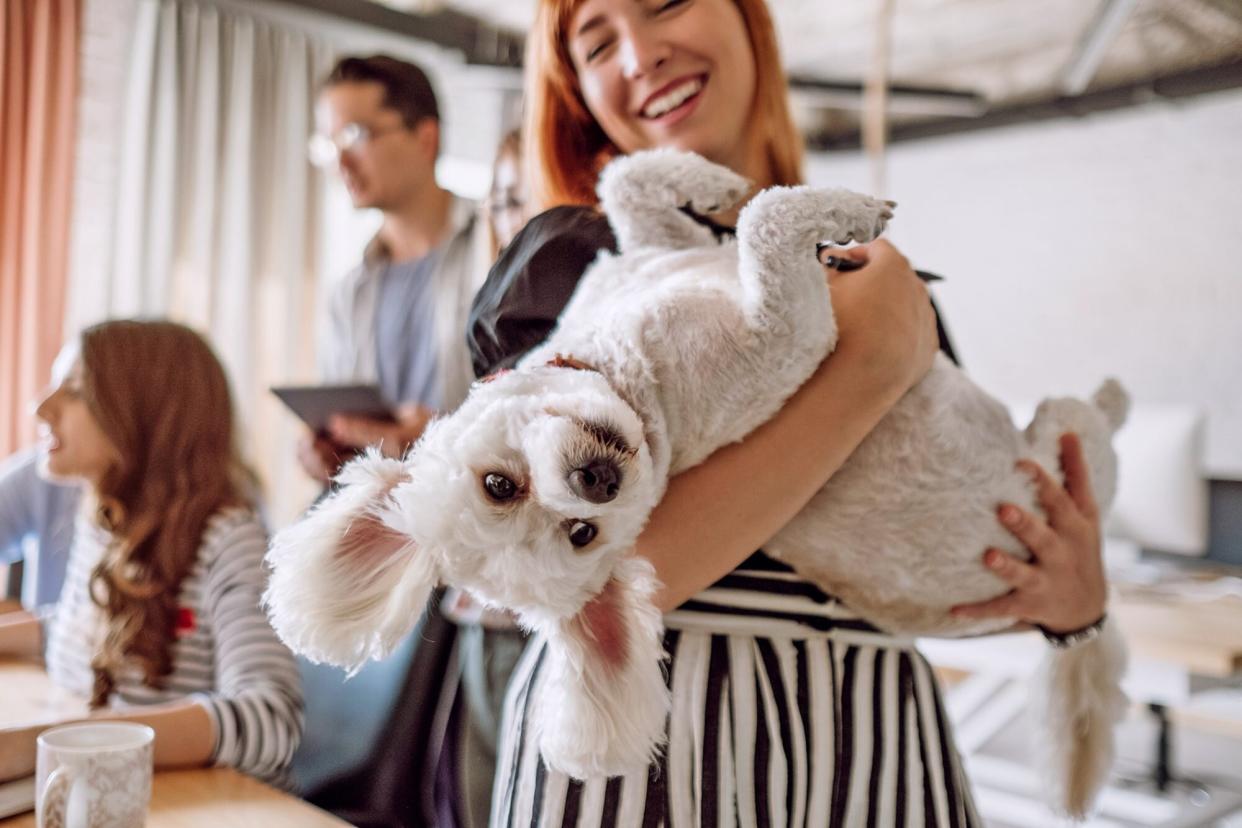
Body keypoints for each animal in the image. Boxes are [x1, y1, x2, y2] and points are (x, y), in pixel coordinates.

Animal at [267, 150, 1132, 824]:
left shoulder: (657, 252)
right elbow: (767, 223)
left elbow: (633, 186)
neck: (625, 360)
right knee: (1090, 429)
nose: (597, 481)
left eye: (497, 484)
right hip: (1065, 447)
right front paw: (847, 211)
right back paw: (1114, 397)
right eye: (583, 535)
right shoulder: (791, 337)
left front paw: (713, 181)